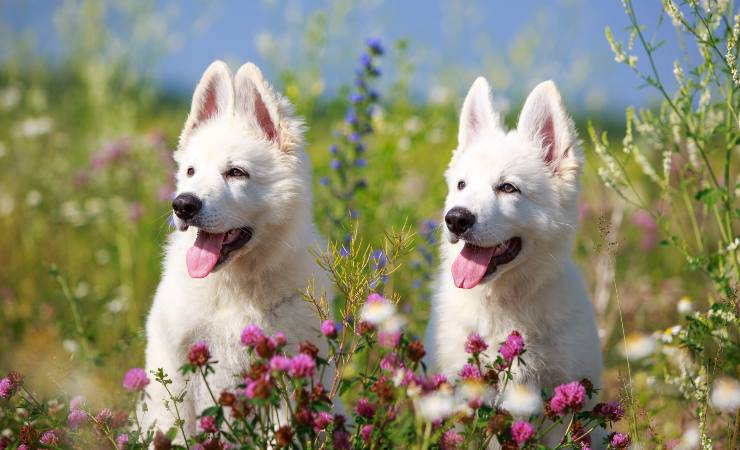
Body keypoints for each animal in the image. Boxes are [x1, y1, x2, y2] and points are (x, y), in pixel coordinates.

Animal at [140, 61, 330, 438]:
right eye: (190, 171)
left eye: (236, 173)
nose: (182, 205)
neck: (234, 288)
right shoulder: (175, 366)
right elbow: (177, 430)